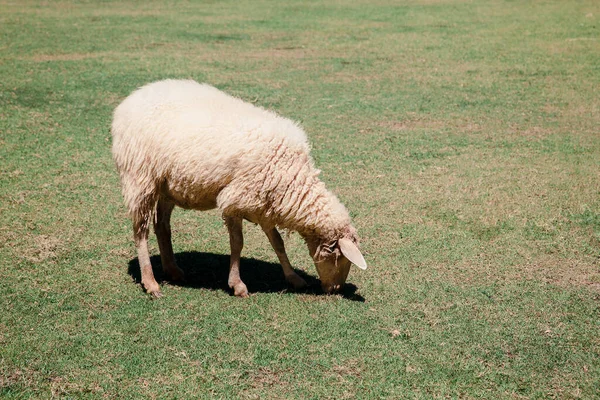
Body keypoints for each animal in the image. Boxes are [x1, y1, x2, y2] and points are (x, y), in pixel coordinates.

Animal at [110, 79, 368, 296]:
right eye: (341, 259)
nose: (335, 289)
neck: (292, 176)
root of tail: (131, 99)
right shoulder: (236, 199)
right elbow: (238, 243)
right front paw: (237, 284)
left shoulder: (264, 203)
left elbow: (277, 242)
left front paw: (293, 277)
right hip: (140, 177)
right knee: (141, 231)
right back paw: (150, 282)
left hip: (166, 185)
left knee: (162, 226)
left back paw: (172, 270)